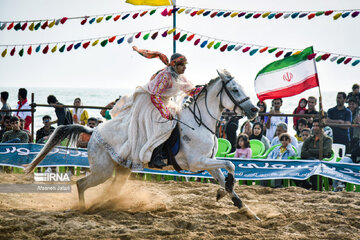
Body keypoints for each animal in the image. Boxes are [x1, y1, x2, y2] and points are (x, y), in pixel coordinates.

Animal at [24, 69, 258, 216]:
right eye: (235, 90)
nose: (254, 110)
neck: (199, 123)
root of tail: (93, 131)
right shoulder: (197, 163)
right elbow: (230, 165)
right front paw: (227, 193)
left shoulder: (208, 162)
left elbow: (225, 175)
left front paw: (240, 205)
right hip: (103, 170)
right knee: (81, 184)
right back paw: (84, 209)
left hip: (121, 170)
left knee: (109, 189)